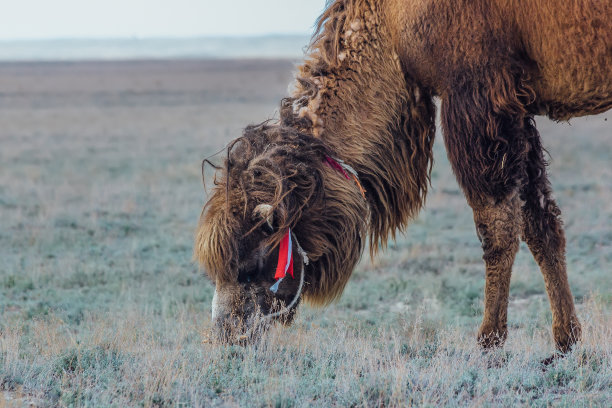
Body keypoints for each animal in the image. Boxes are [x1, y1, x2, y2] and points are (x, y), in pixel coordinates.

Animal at [196, 0, 612, 350]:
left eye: (250, 267)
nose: (225, 335)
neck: (390, 26)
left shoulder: (477, 93)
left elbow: (497, 228)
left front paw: (489, 343)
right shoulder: (516, 104)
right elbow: (541, 222)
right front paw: (565, 340)